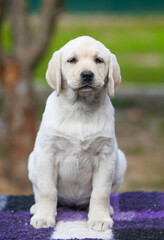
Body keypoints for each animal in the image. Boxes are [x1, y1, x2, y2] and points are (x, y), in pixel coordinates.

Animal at [28, 35, 127, 231]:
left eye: (99, 60)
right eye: (72, 60)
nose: (87, 75)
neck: (81, 108)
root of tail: (73, 204)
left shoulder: (106, 156)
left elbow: (101, 192)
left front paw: (99, 219)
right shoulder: (47, 153)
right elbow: (47, 190)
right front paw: (44, 217)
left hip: (121, 160)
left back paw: (108, 209)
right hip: (32, 161)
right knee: (40, 191)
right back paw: (37, 208)